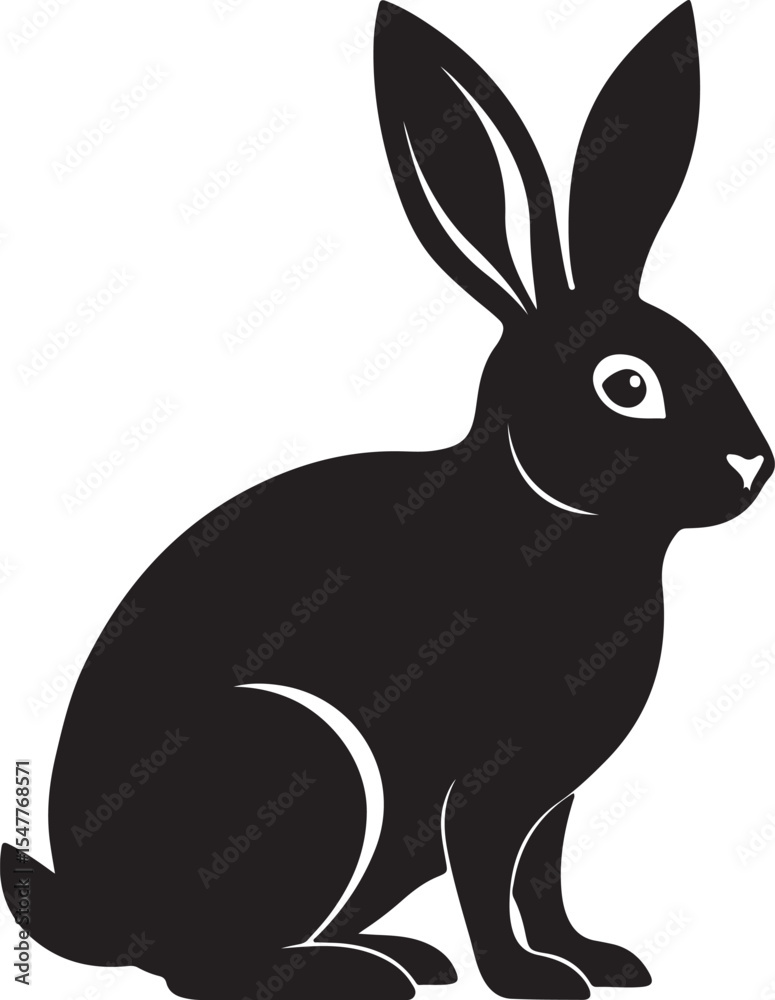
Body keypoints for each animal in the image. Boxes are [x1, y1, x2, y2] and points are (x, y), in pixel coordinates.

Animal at [3, 3, 773, 999]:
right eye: (627, 385)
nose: (753, 464)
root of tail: (99, 913)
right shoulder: (488, 784)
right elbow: (490, 880)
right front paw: (530, 980)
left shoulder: (554, 794)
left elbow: (544, 878)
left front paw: (599, 961)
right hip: (301, 764)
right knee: (198, 966)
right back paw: (362, 972)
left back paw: (400, 955)